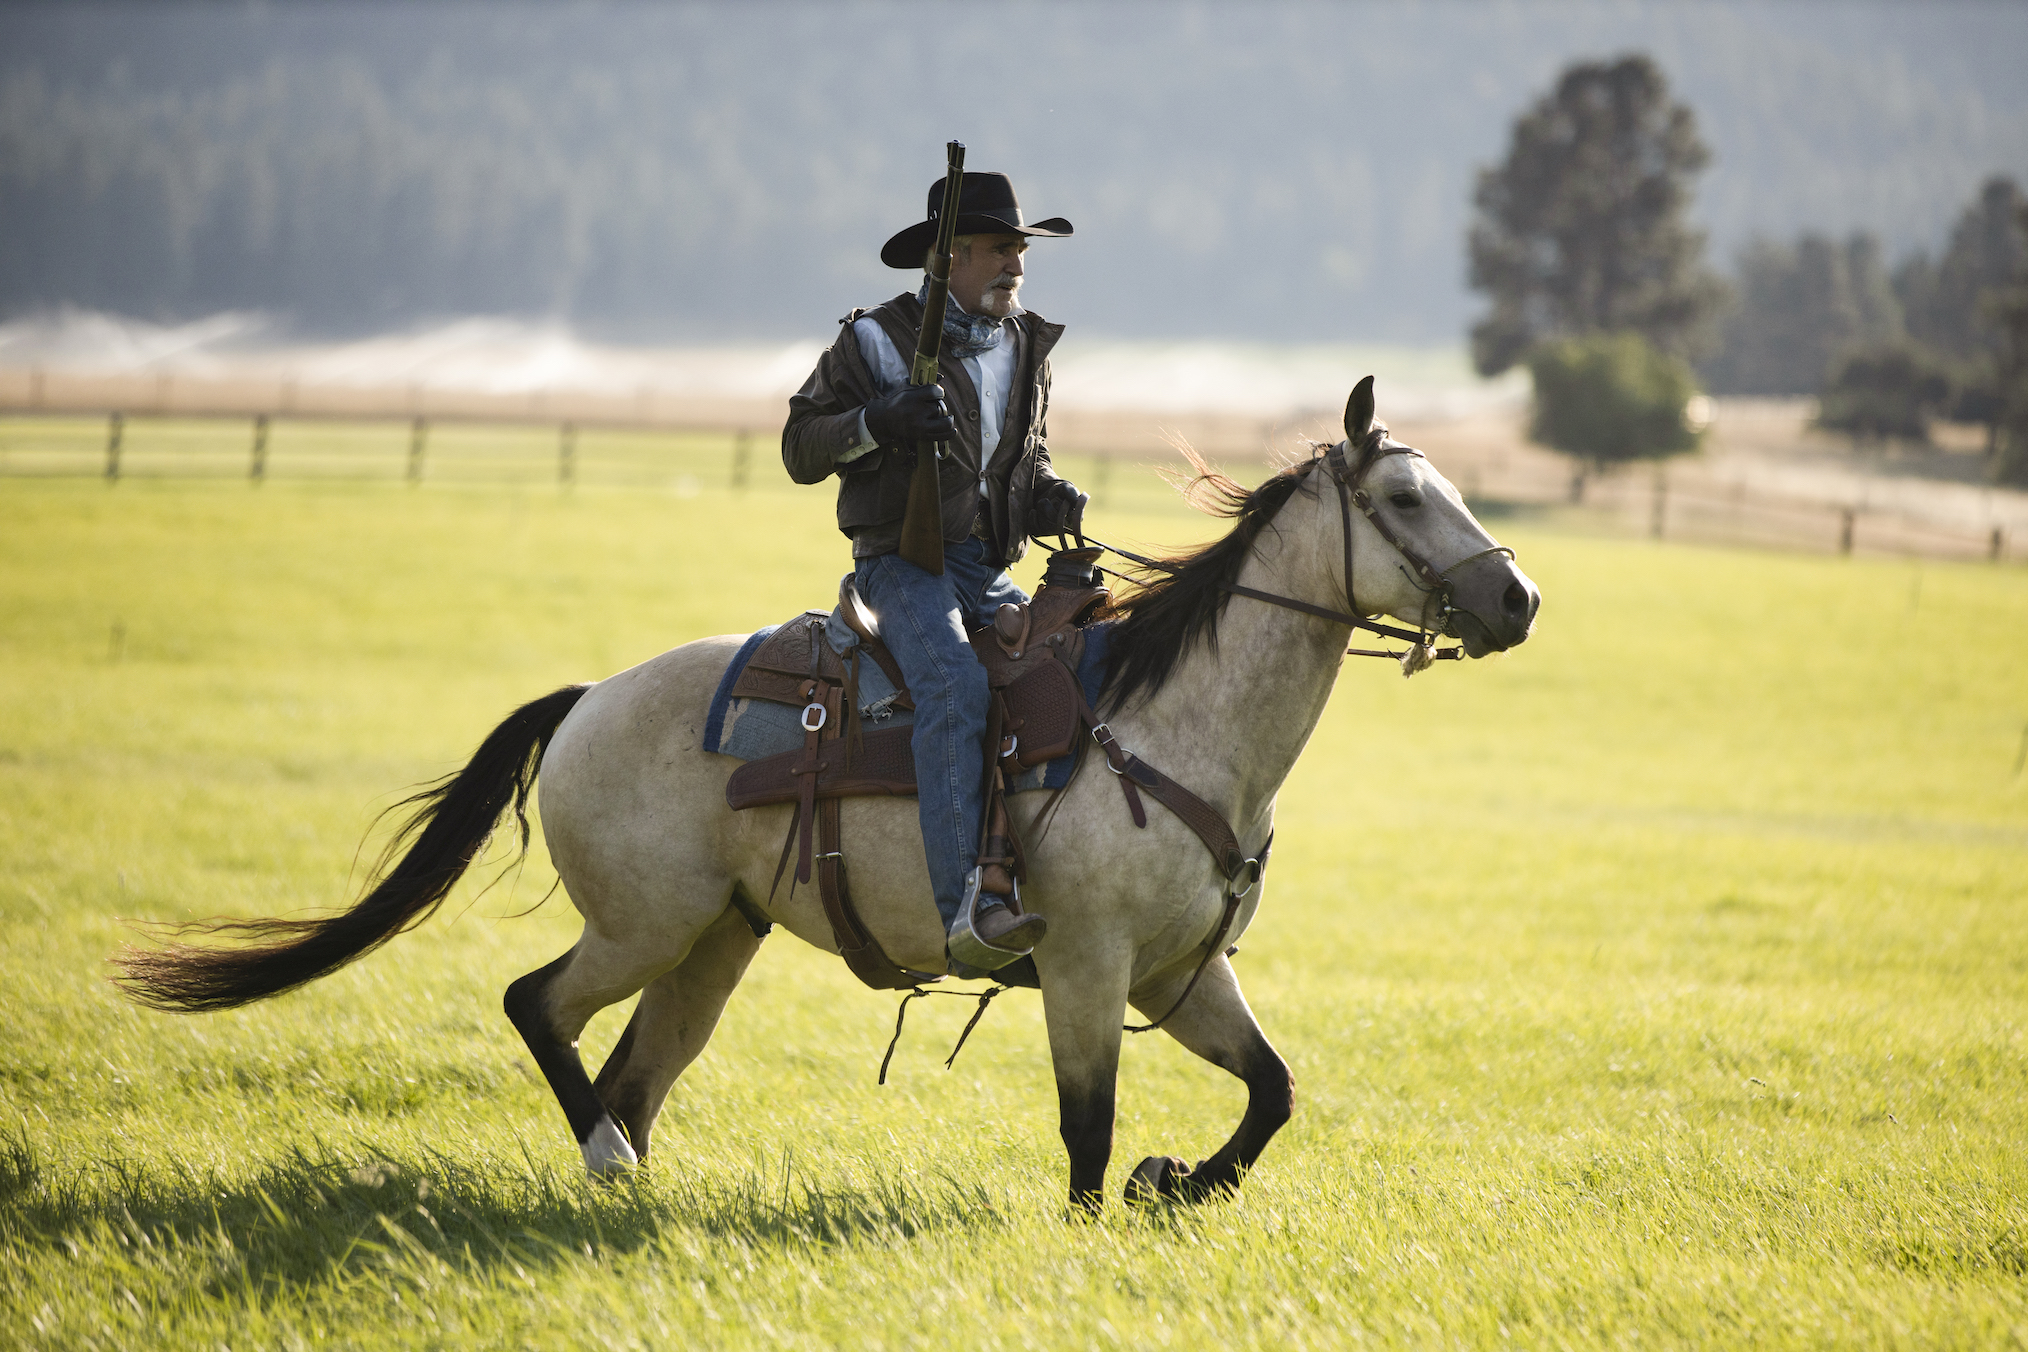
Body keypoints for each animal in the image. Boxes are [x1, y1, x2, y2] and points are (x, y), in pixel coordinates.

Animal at [118, 374, 1533, 1208]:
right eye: (1403, 494)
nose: (1519, 597)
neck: (1167, 723)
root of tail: (585, 701)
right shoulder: (1085, 966)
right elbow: (1085, 1132)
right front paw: (1120, 1195)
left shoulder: (1184, 971)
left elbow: (1271, 1090)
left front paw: (1176, 1177)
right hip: (641, 923)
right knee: (540, 1007)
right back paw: (607, 1157)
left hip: (712, 941)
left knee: (632, 1063)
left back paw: (629, 1184)